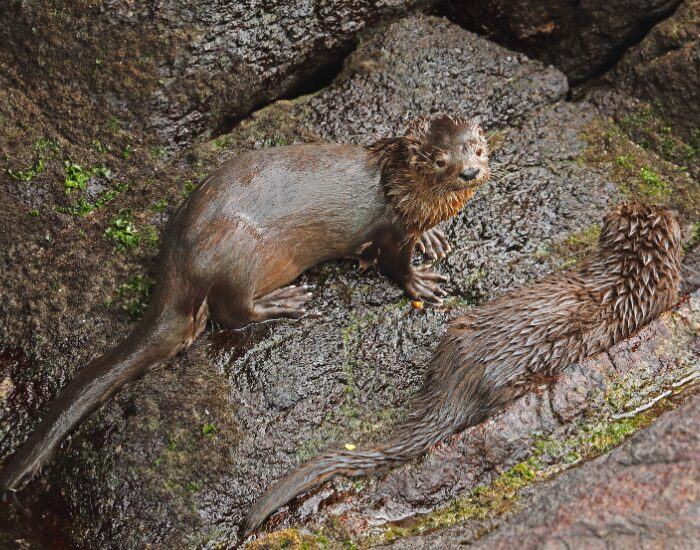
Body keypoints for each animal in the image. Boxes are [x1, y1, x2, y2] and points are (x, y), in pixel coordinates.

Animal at [0, 114, 489, 494]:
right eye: (440, 160)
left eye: (479, 149)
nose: (469, 172)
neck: (402, 190)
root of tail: (180, 263)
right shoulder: (389, 231)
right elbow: (394, 265)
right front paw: (420, 282)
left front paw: (433, 238)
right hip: (242, 255)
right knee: (230, 313)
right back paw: (284, 302)